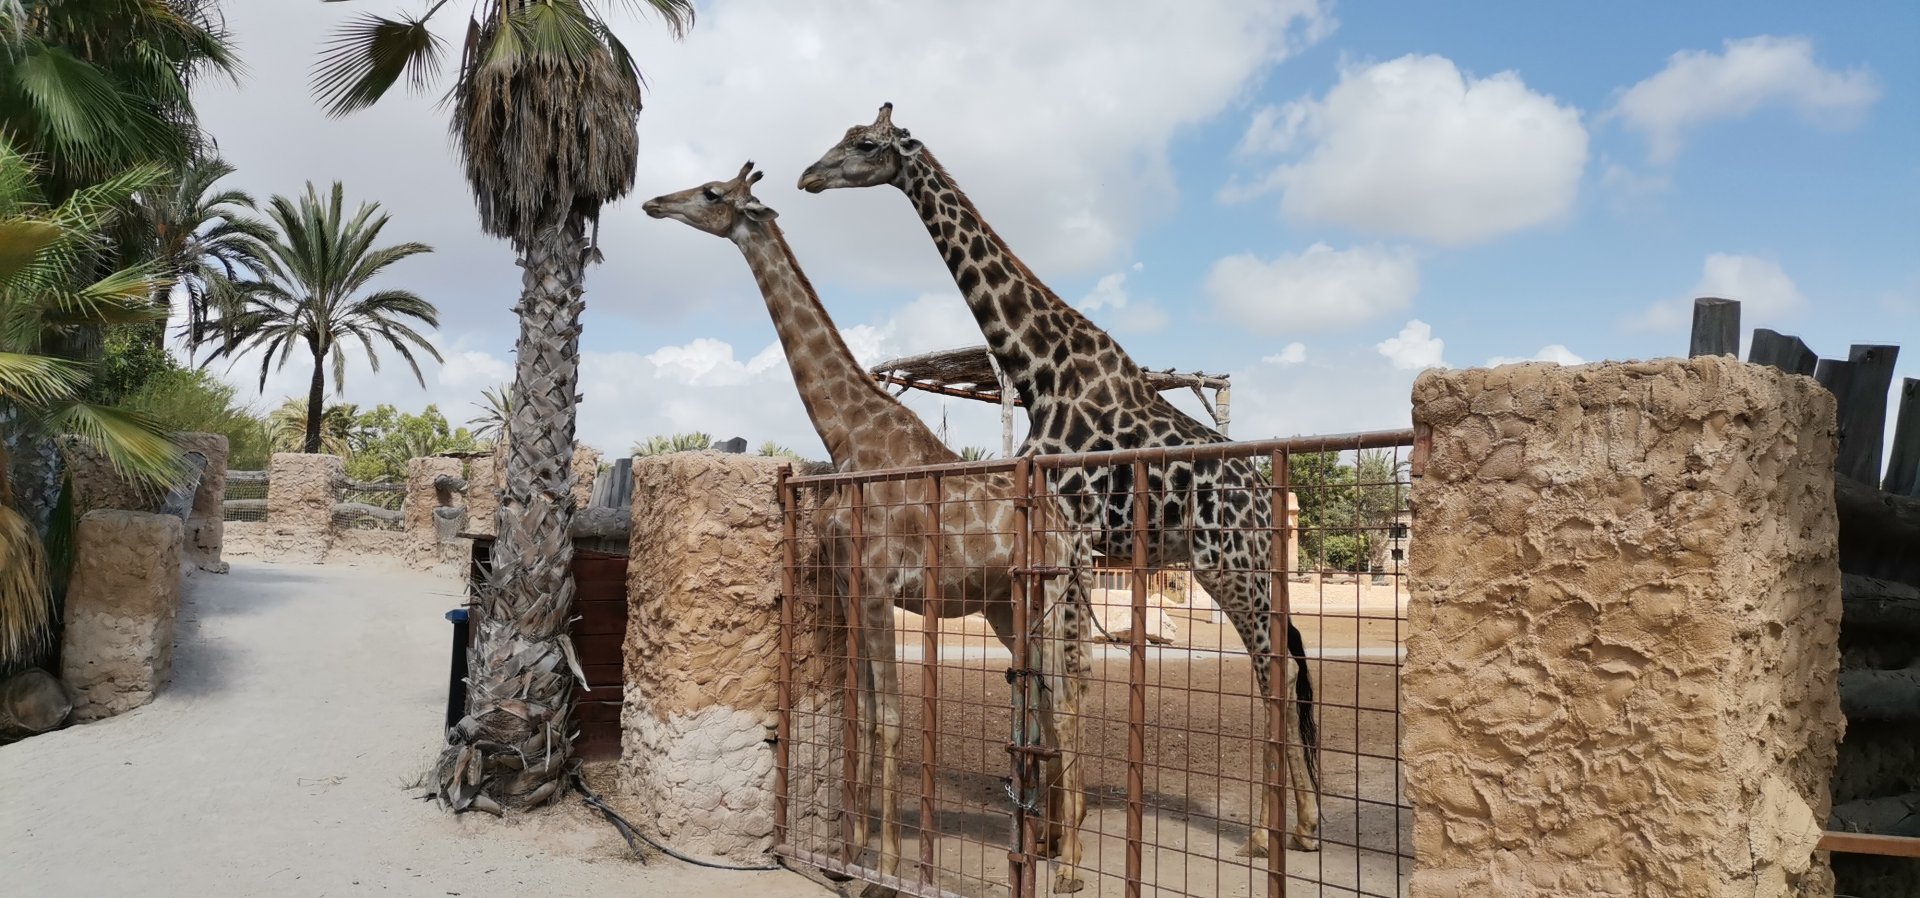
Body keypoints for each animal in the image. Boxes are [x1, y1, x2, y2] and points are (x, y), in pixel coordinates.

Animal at [644, 163, 1095, 894]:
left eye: (712, 192)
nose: (655, 203)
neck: (848, 434)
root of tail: (1072, 530)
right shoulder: (848, 586)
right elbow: (855, 716)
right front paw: (847, 855)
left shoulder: (881, 587)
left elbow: (887, 721)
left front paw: (883, 867)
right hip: (1007, 605)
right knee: (1047, 702)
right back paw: (1049, 846)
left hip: (1051, 596)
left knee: (1069, 696)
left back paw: (1073, 867)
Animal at [800, 105, 1323, 856]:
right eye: (842, 137)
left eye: (865, 145)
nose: (808, 177)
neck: (1040, 370)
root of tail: (1265, 496)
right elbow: (1041, 677)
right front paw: (1048, 824)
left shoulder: (1066, 534)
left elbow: (1057, 678)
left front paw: (1053, 826)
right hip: (1245, 569)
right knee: (1287, 659)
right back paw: (1303, 824)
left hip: (1229, 565)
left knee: (1271, 667)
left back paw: (1266, 833)